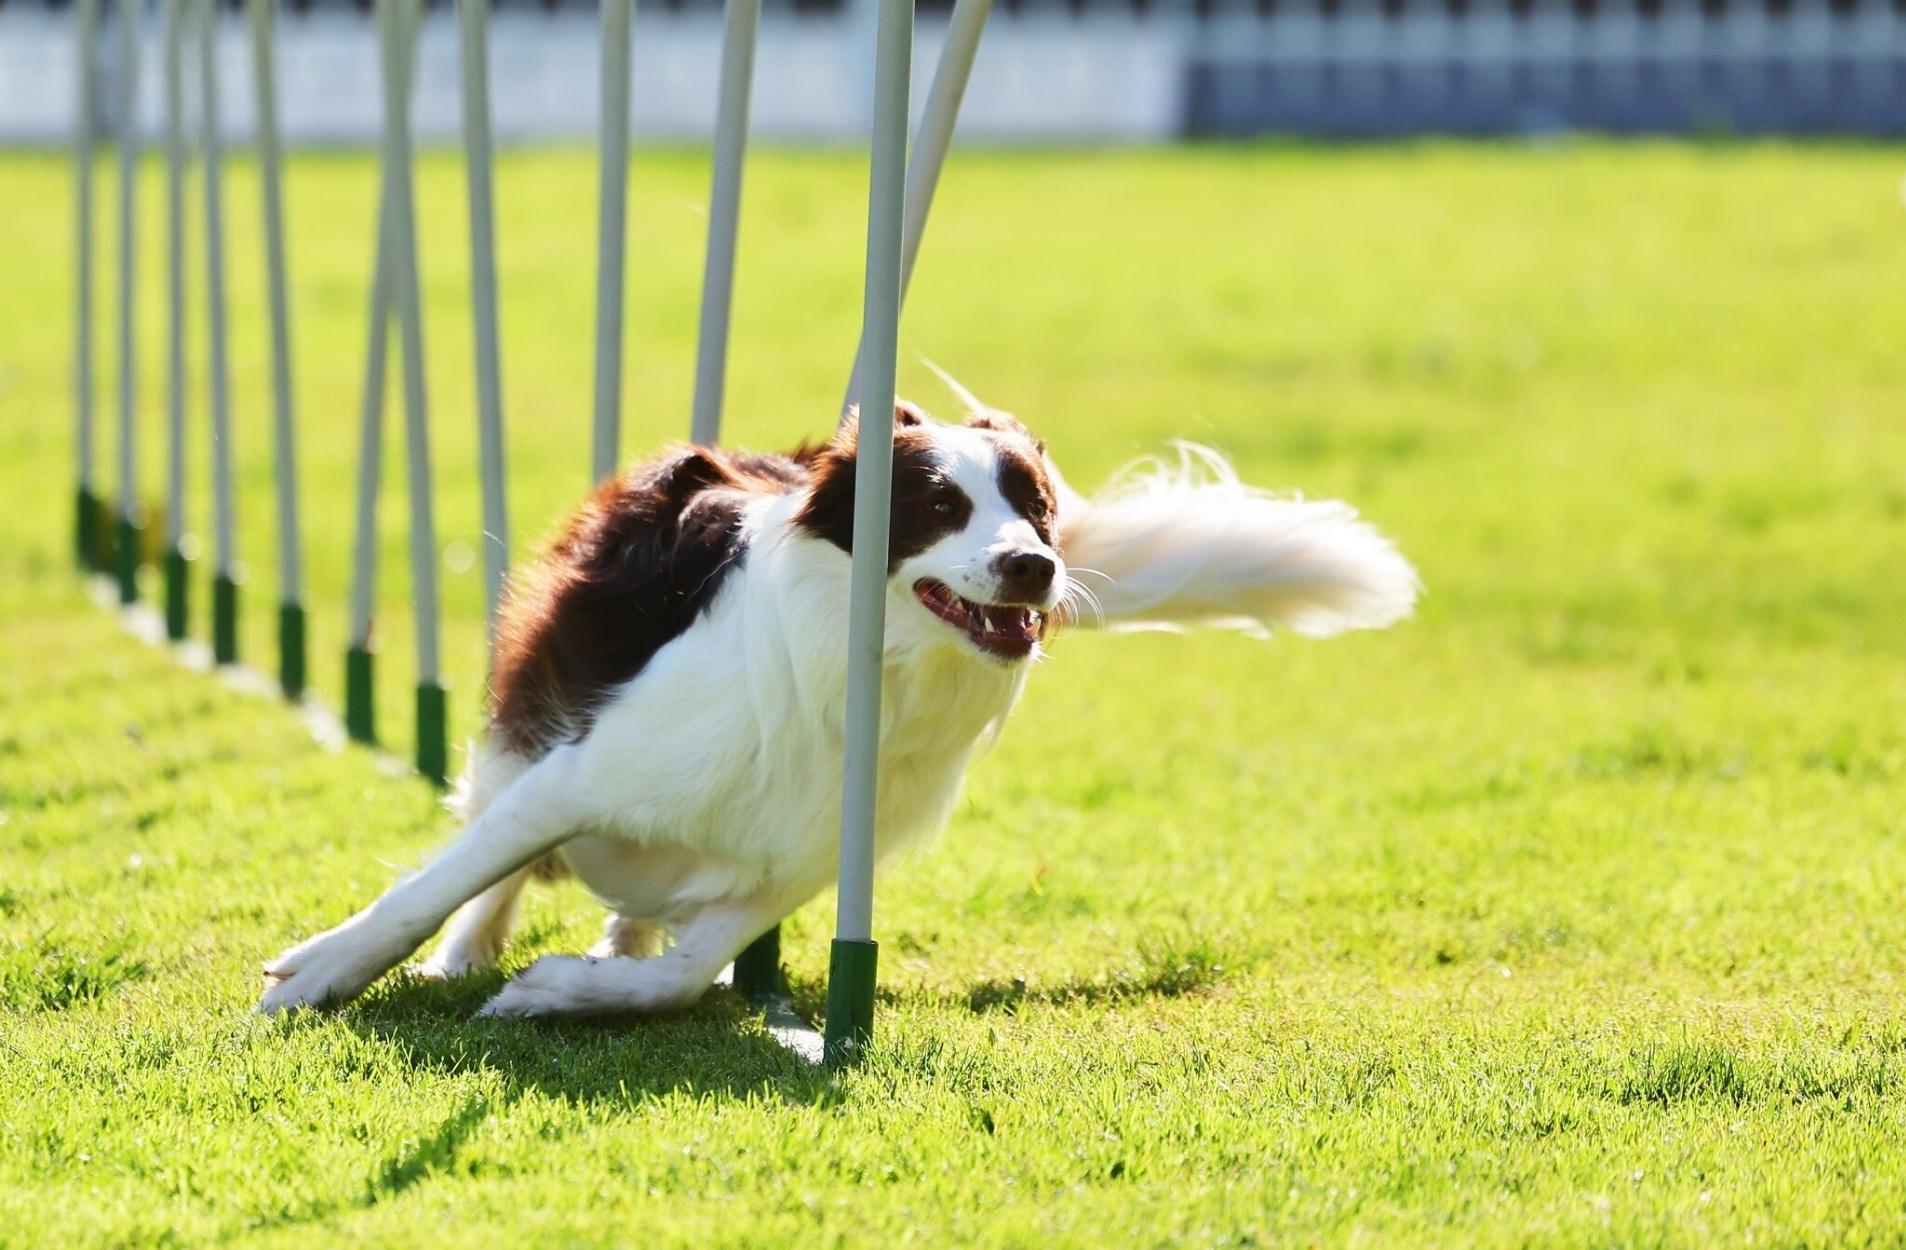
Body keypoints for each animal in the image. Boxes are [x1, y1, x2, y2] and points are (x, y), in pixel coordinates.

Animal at [257, 398, 1418, 1013]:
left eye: (1037, 504)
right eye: (939, 505)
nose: (1036, 566)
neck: (881, 670)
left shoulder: (791, 864)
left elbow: (686, 973)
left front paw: (564, 991)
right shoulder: (583, 772)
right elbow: (433, 884)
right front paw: (319, 974)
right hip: (536, 715)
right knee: (489, 825)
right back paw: (471, 945)